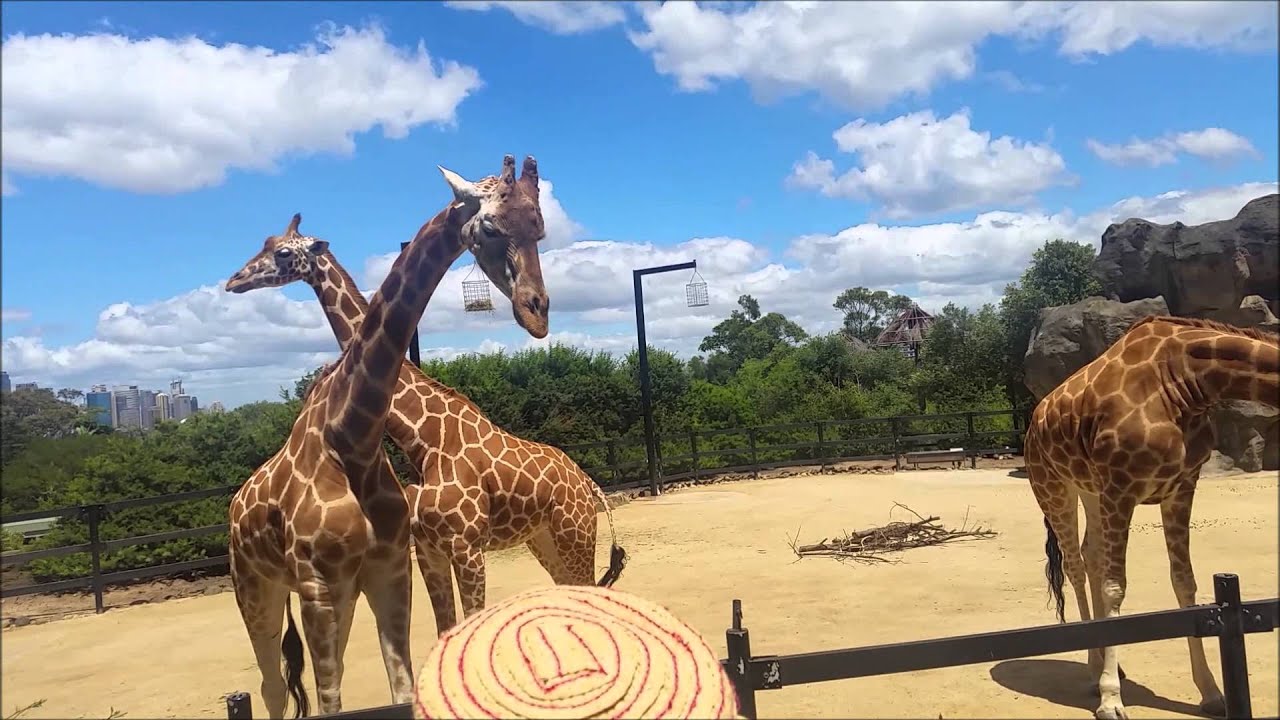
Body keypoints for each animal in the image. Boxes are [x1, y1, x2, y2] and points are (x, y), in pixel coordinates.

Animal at [224, 154, 550, 718]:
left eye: (541, 228)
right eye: (489, 225)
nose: (538, 312)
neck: (352, 437)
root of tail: (236, 504)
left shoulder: (390, 571)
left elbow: (402, 686)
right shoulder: (320, 585)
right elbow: (333, 700)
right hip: (256, 586)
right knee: (272, 687)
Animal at [225, 206, 627, 640]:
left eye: (282, 252)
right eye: (265, 243)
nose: (234, 280)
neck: (421, 438)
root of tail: (589, 483)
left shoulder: (467, 547)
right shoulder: (429, 549)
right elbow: (444, 626)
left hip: (574, 532)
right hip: (543, 538)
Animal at [1025, 314, 1279, 720]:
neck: (1186, 380)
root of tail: (1035, 417)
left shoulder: (1181, 487)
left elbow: (1184, 582)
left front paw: (1211, 693)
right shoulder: (1121, 486)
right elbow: (1115, 587)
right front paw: (1111, 700)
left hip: (1090, 490)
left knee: (1091, 555)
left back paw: (1107, 665)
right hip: (1053, 487)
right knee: (1075, 566)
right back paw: (1095, 669)